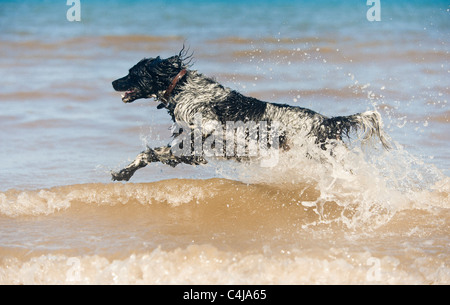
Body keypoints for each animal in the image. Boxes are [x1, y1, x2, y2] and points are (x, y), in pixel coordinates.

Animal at [110, 48, 390, 180]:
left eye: (132, 73)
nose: (113, 82)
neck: (183, 88)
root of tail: (326, 122)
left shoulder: (207, 128)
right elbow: (147, 154)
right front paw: (123, 172)